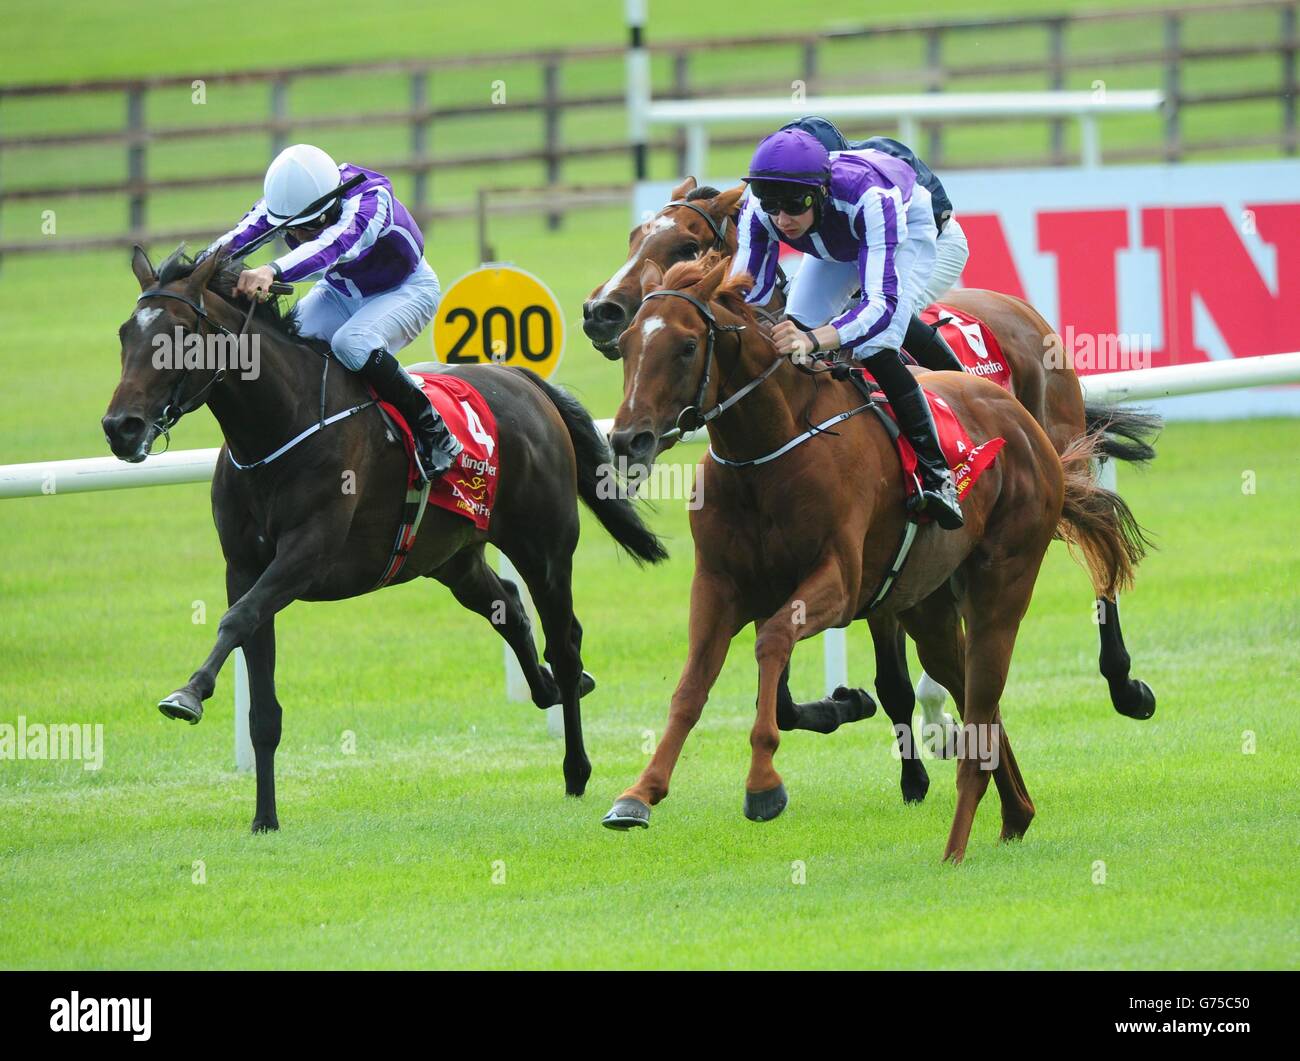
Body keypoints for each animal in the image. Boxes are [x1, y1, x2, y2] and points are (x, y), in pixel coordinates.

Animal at [102, 247, 665, 826]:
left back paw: (576, 766)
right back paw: (548, 687)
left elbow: (237, 619)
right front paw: (264, 819)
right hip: (450, 556)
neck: (280, 427)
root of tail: (523, 380)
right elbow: (260, 701)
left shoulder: (306, 555)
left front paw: (188, 694)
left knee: (566, 643)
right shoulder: (244, 568)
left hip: (544, 546)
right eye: (125, 334)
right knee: (507, 606)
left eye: (178, 335)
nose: (120, 427)